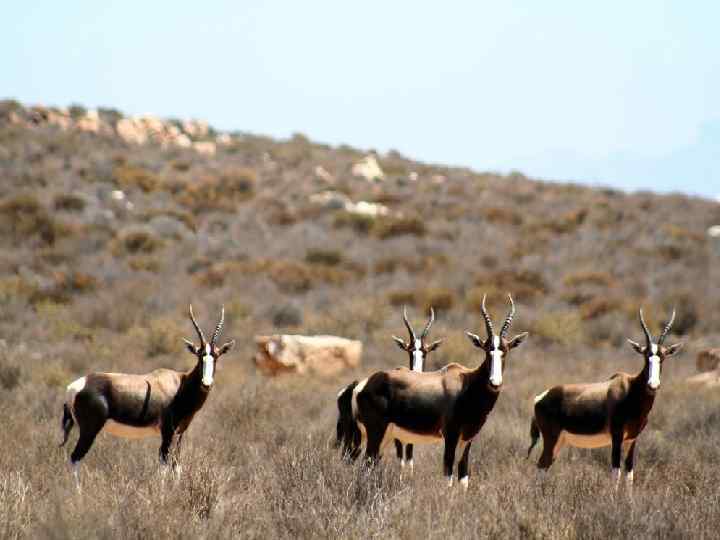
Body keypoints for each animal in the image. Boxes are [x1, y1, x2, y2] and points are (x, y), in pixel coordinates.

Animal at [59, 304, 233, 486]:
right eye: (200, 357)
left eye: (216, 357)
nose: (206, 383)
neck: (179, 384)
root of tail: (73, 388)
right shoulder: (167, 433)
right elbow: (163, 467)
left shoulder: (179, 434)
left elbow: (177, 467)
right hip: (89, 431)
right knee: (75, 457)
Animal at [352, 296, 524, 490]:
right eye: (487, 349)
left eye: (505, 350)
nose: (494, 383)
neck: (466, 383)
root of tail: (364, 384)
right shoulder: (451, 435)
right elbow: (448, 475)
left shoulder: (467, 439)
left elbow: (463, 477)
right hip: (376, 433)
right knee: (366, 466)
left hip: (386, 437)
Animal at [528, 306, 680, 488]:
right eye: (645, 356)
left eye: (662, 357)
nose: (653, 385)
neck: (630, 389)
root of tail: (540, 397)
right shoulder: (616, 437)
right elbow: (616, 473)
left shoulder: (632, 440)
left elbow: (629, 474)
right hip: (552, 439)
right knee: (541, 466)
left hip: (560, 441)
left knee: (544, 467)